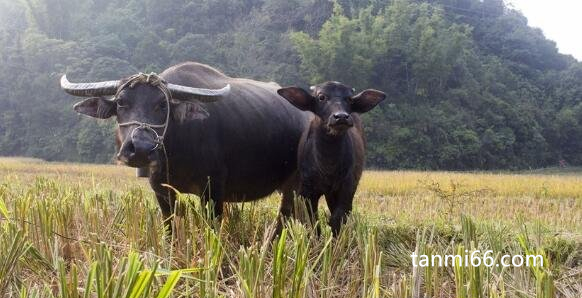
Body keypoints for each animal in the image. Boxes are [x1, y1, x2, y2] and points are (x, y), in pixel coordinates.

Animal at [60, 62, 310, 226]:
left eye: (162, 104)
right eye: (121, 102)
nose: (141, 148)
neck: (176, 150)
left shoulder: (213, 190)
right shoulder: (161, 189)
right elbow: (170, 226)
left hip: (297, 185)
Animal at [280, 81, 388, 235]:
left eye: (349, 99)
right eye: (321, 97)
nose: (341, 117)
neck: (328, 164)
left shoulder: (347, 188)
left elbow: (337, 219)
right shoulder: (307, 192)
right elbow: (312, 222)